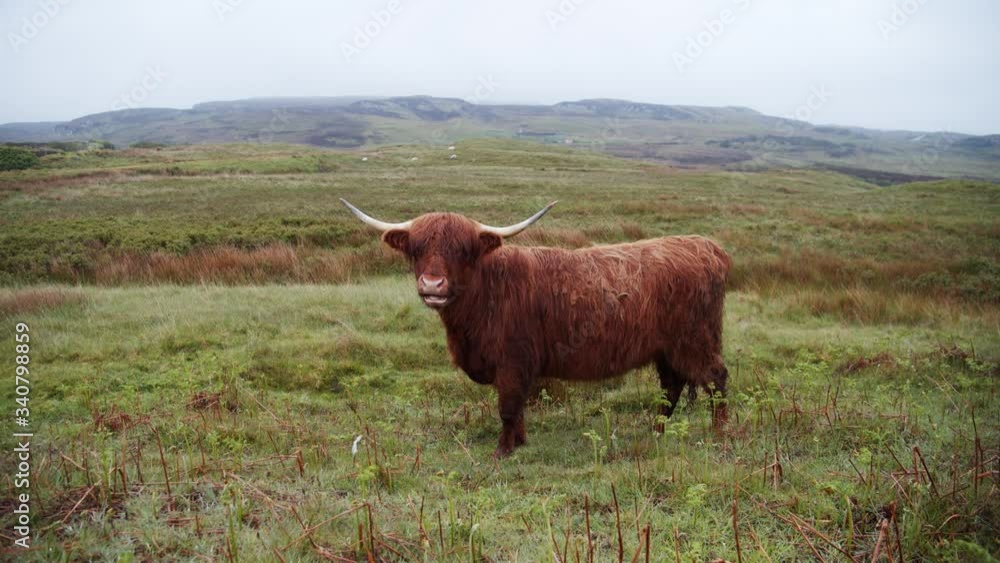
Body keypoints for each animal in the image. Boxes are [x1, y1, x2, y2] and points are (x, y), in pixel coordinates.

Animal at [341, 199, 731, 458]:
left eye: (463, 250)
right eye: (417, 248)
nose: (433, 285)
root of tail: (707, 246)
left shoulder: (514, 358)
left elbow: (508, 406)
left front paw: (502, 451)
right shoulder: (517, 364)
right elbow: (518, 407)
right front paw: (521, 441)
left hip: (694, 340)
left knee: (715, 379)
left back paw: (720, 435)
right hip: (666, 348)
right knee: (671, 387)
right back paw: (657, 432)